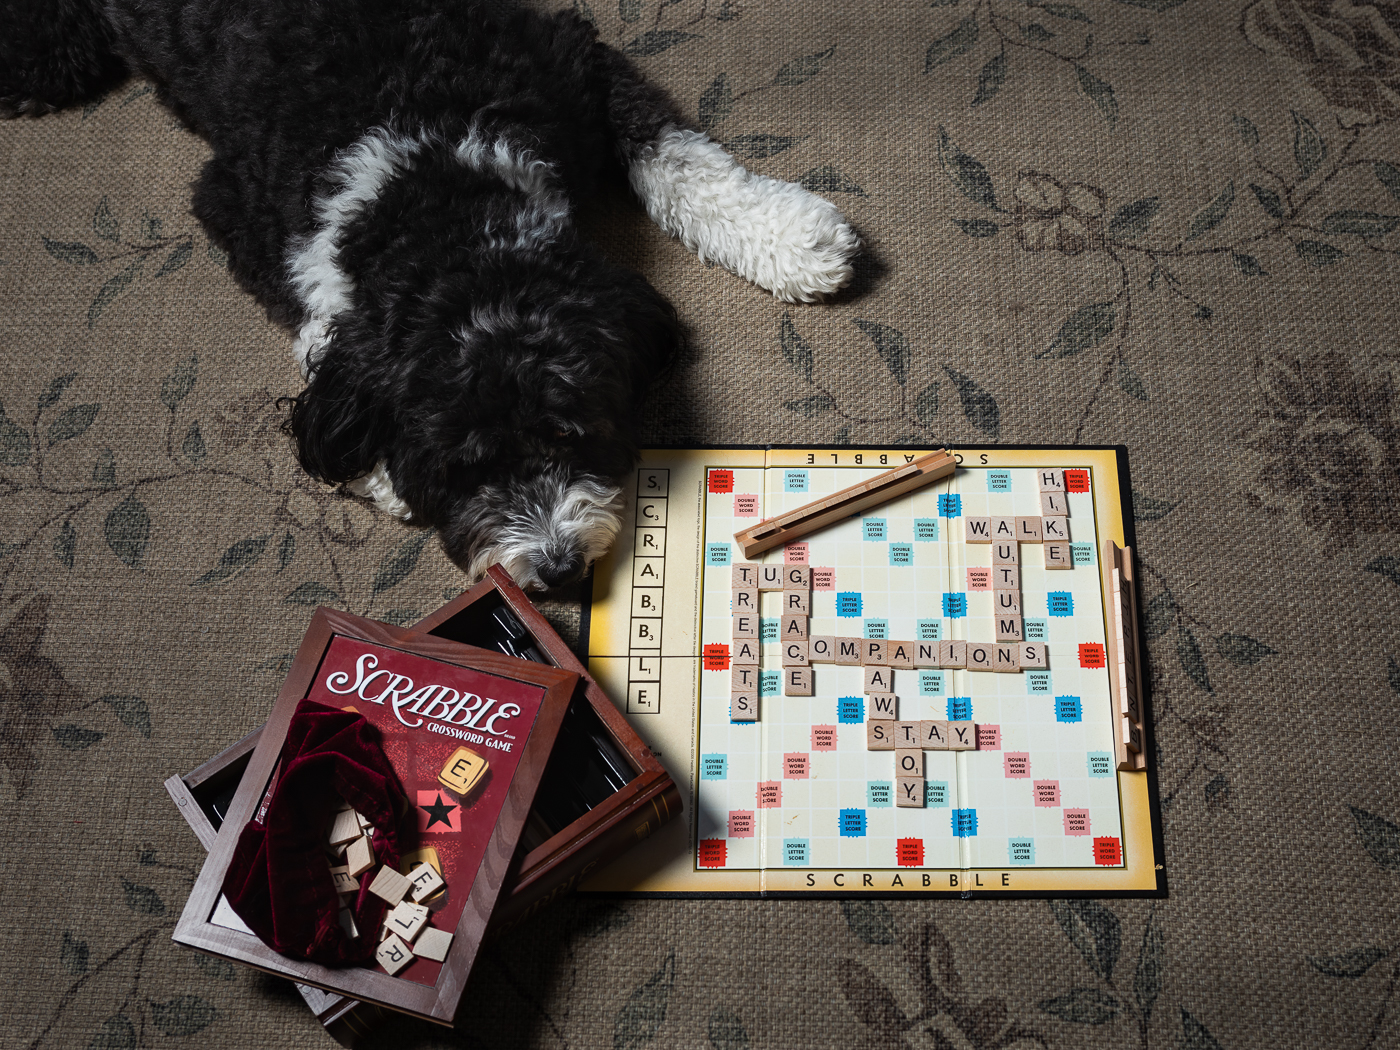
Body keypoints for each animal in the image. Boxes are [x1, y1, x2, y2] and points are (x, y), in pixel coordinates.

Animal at [2, 0, 862, 593]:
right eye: (465, 469)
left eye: (572, 433)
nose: (556, 570)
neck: (433, 181)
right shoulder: (241, 208)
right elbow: (323, 330)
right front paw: (383, 465)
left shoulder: (574, 62)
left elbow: (676, 154)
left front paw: (792, 237)